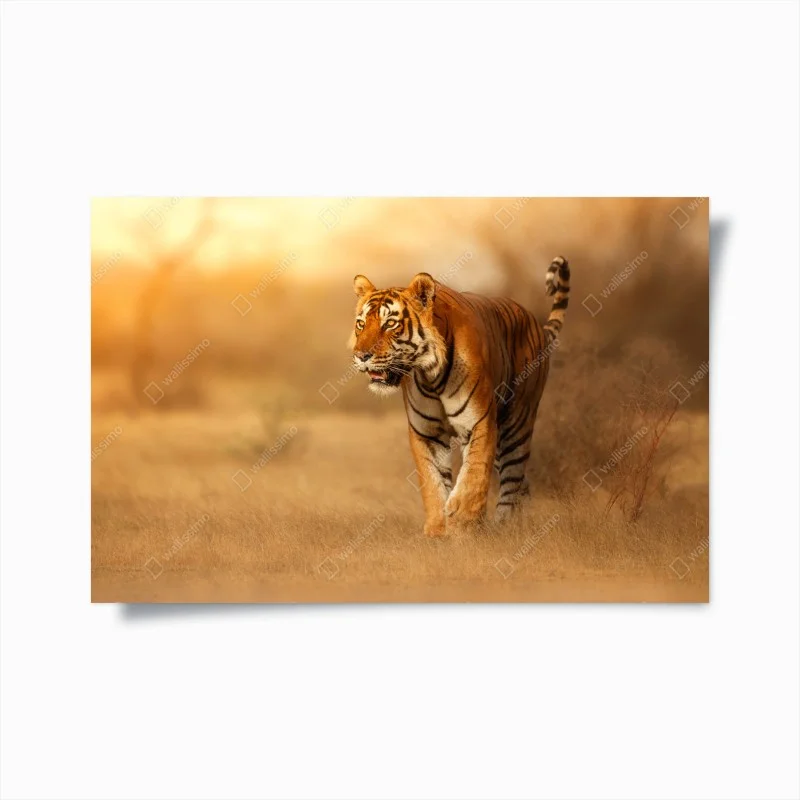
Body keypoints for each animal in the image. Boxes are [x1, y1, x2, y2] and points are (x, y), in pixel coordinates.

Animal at [349, 256, 570, 537]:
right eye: (361, 324)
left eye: (390, 323)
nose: (360, 356)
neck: (430, 375)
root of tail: (536, 324)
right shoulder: (426, 433)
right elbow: (432, 482)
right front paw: (437, 530)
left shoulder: (479, 422)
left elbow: (474, 474)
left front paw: (463, 521)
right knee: (522, 483)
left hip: (517, 424)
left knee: (512, 479)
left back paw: (504, 526)